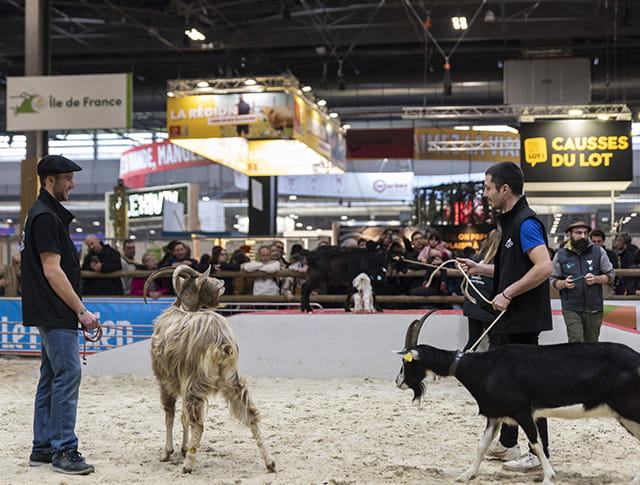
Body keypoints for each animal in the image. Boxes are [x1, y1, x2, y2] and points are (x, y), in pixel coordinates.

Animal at [145, 264, 276, 472]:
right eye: (206, 279)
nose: (221, 282)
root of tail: (222, 343)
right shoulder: (182, 381)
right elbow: (183, 417)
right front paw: (183, 448)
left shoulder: (166, 380)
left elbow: (171, 414)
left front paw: (168, 452)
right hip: (232, 379)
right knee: (251, 414)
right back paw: (270, 462)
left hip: (196, 381)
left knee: (198, 423)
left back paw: (188, 466)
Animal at [396, 310, 640, 484]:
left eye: (407, 363)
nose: (399, 382)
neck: (482, 368)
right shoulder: (495, 414)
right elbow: (482, 444)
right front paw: (466, 475)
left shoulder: (522, 411)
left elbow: (536, 442)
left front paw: (549, 477)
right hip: (625, 416)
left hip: (629, 408)